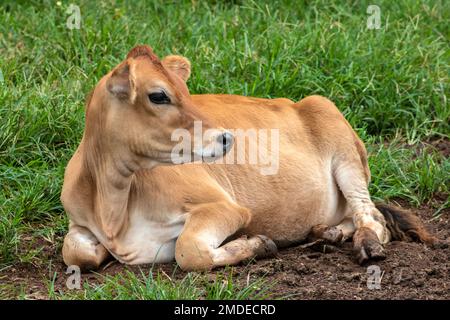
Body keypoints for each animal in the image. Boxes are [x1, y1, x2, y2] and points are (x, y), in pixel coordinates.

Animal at [59, 44, 436, 270]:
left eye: (186, 91)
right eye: (159, 95)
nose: (227, 137)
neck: (113, 206)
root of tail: (302, 101)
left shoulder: (225, 207)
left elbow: (189, 250)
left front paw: (255, 244)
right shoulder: (79, 222)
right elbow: (74, 252)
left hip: (344, 151)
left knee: (372, 216)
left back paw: (365, 244)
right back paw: (327, 234)